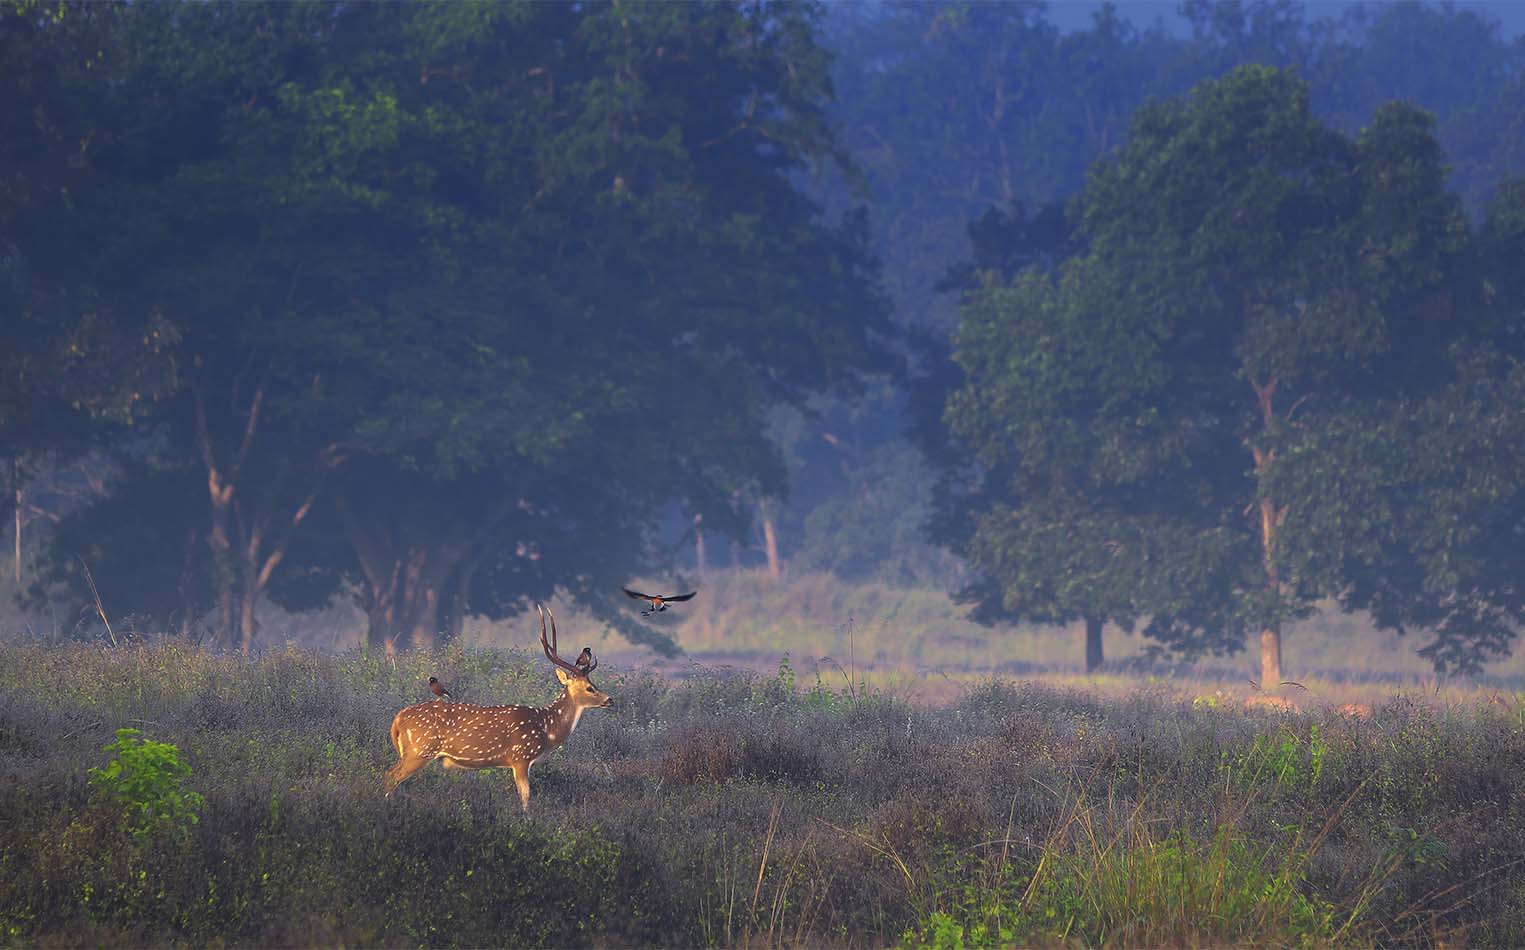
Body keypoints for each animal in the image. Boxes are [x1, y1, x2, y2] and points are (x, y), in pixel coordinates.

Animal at [384, 600, 610, 811]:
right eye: (590, 688)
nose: (610, 700)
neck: (546, 728)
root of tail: (398, 719)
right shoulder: (520, 757)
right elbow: (525, 797)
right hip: (420, 749)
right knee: (390, 776)